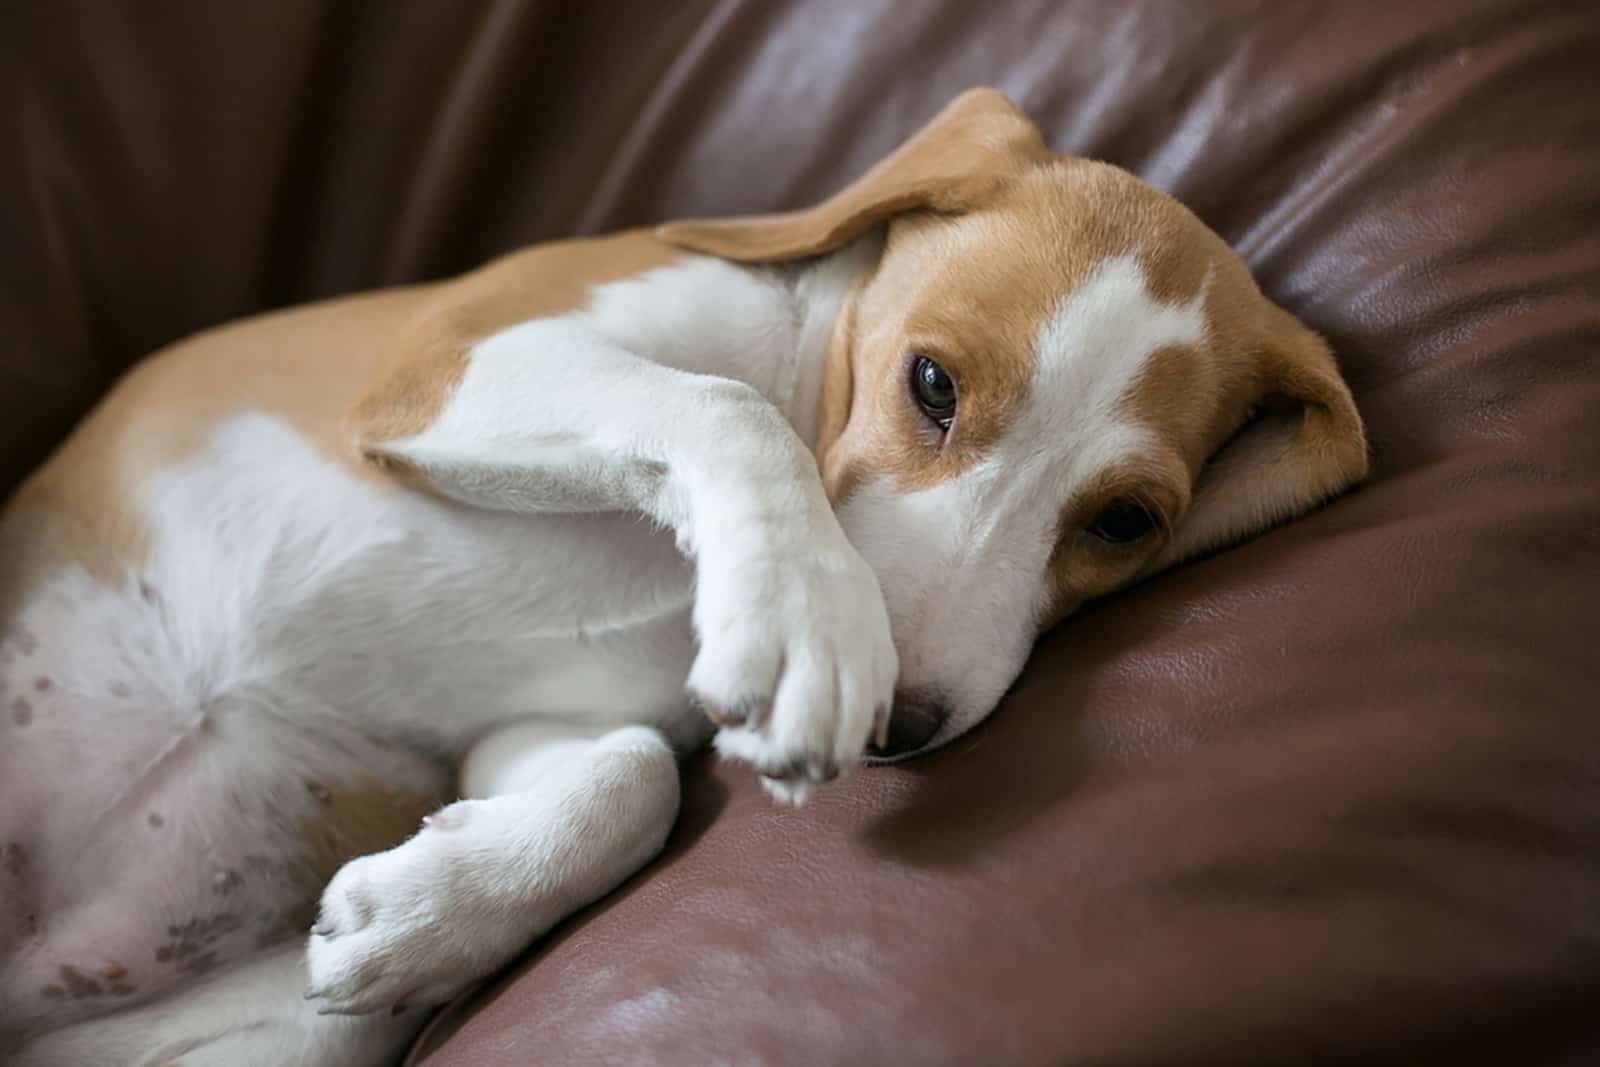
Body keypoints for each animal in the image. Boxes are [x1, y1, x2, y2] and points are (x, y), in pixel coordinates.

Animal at [6, 87, 1369, 1062]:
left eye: (1126, 521)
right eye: (931, 384)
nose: (905, 724)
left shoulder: (525, 730)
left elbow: (637, 777)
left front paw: (435, 912)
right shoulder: (446, 369)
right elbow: (722, 405)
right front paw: (808, 612)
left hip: (274, 1041)